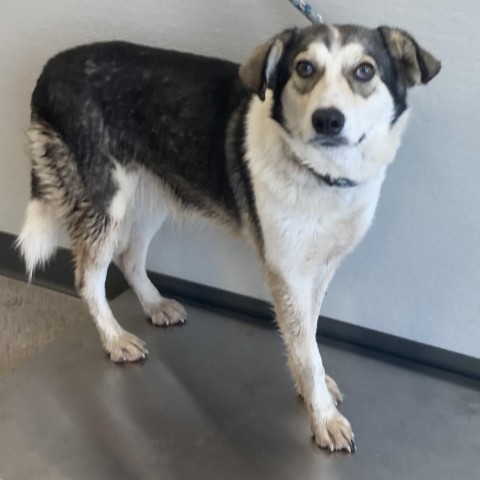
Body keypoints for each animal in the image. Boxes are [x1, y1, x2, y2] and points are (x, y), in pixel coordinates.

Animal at [17, 22, 438, 452]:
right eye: (304, 68)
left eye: (365, 71)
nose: (327, 120)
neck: (321, 173)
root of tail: (51, 68)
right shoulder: (287, 271)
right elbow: (306, 350)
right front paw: (323, 418)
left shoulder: (320, 268)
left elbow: (309, 335)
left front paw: (312, 390)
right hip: (107, 200)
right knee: (89, 278)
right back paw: (115, 339)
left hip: (153, 195)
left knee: (130, 257)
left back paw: (155, 305)